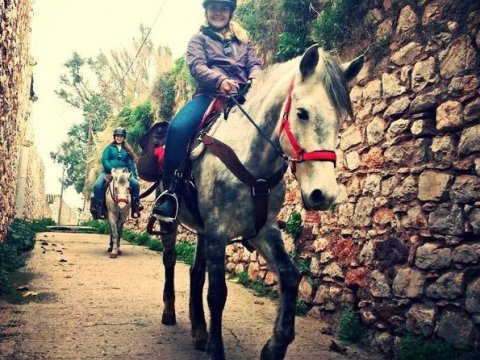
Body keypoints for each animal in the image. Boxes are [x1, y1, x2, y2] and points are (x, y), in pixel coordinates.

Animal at [158, 45, 364, 360]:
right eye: (302, 113)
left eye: (340, 119)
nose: (323, 194)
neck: (251, 159)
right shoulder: (218, 231)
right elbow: (217, 293)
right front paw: (216, 350)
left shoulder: (262, 230)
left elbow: (290, 277)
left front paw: (274, 347)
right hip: (172, 223)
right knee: (170, 260)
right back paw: (170, 312)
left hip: (204, 232)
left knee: (196, 272)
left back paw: (199, 331)